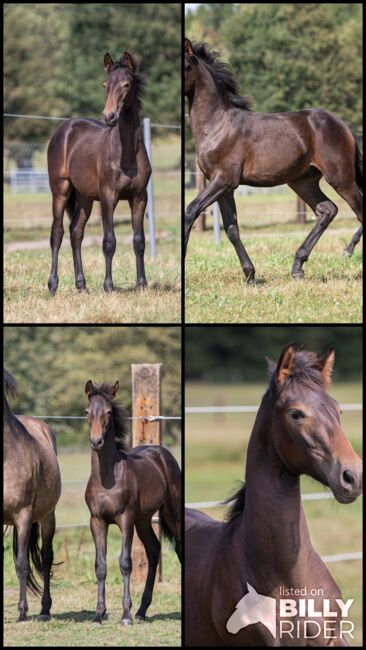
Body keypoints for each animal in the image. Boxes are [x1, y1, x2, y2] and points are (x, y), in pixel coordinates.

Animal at [48, 49, 151, 292]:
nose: (109, 116)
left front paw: (142, 284)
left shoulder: (139, 197)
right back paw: (53, 285)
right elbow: (109, 241)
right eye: (105, 84)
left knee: (76, 233)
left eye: (126, 84)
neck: (126, 154)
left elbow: (139, 240)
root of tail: (63, 130)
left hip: (84, 198)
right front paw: (109, 286)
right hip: (60, 192)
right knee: (57, 233)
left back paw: (81, 285)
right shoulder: (108, 197)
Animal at [83, 380, 180, 624]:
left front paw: (126, 615)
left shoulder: (125, 519)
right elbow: (100, 565)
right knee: (154, 550)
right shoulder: (97, 521)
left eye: (109, 412)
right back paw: (142, 610)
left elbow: (125, 562)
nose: (96, 441)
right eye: (87, 411)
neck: (107, 479)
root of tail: (162, 453)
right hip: (143, 520)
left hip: (171, 513)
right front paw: (98, 614)